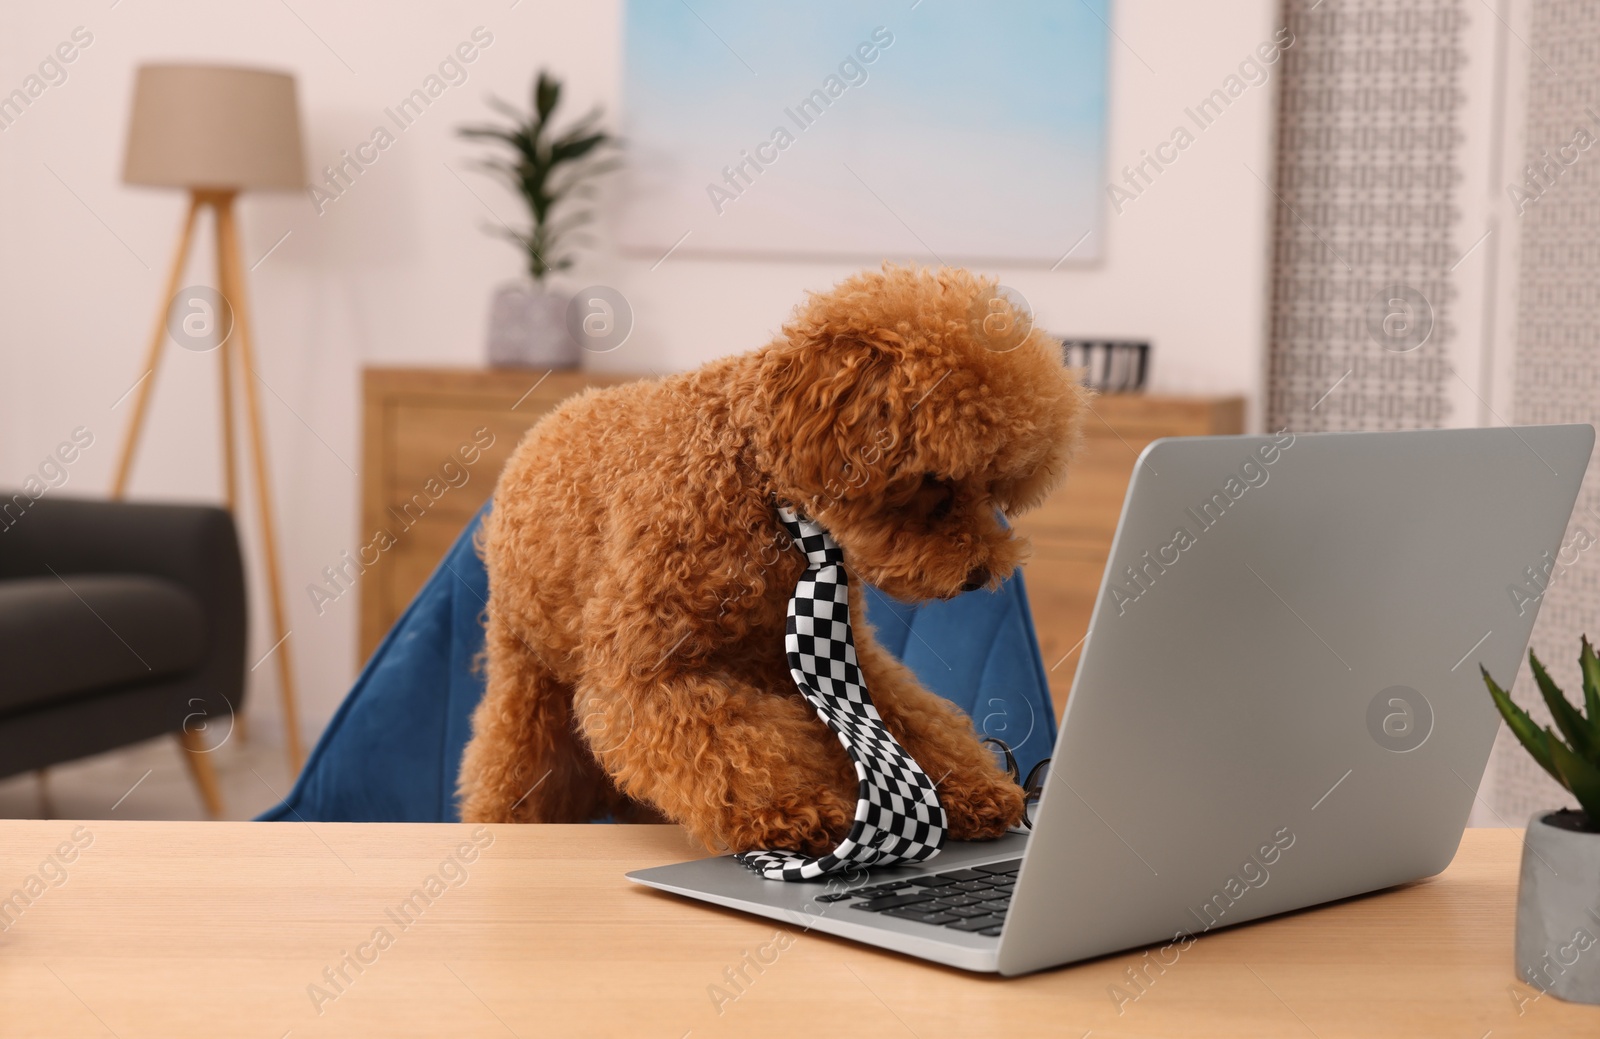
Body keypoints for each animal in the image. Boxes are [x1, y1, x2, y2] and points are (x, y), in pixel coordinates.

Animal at [460, 264, 1088, 858]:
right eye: (935, 482)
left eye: (992, 489)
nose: (980, 575)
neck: (764, 495)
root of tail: (548, 423)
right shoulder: (649, 673)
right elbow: (723, 746)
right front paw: (793, 809)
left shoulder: (839, 657)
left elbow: (909, 718)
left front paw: (971, 789)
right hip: (528, 687)